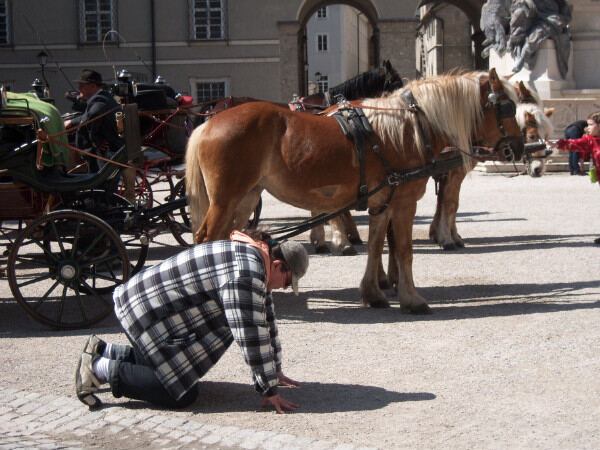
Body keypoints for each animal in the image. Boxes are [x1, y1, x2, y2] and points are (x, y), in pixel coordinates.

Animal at [185, 68, 524, 312]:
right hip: (226, 200)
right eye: (506, 107)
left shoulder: (382, 201)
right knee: (207, 238)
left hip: (246, 198)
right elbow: (404, 249)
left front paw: (373, 292)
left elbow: (376, 245)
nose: (519, 146)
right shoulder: (404, 202)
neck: (408, 128)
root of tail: (208, 122)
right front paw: (411, 298)